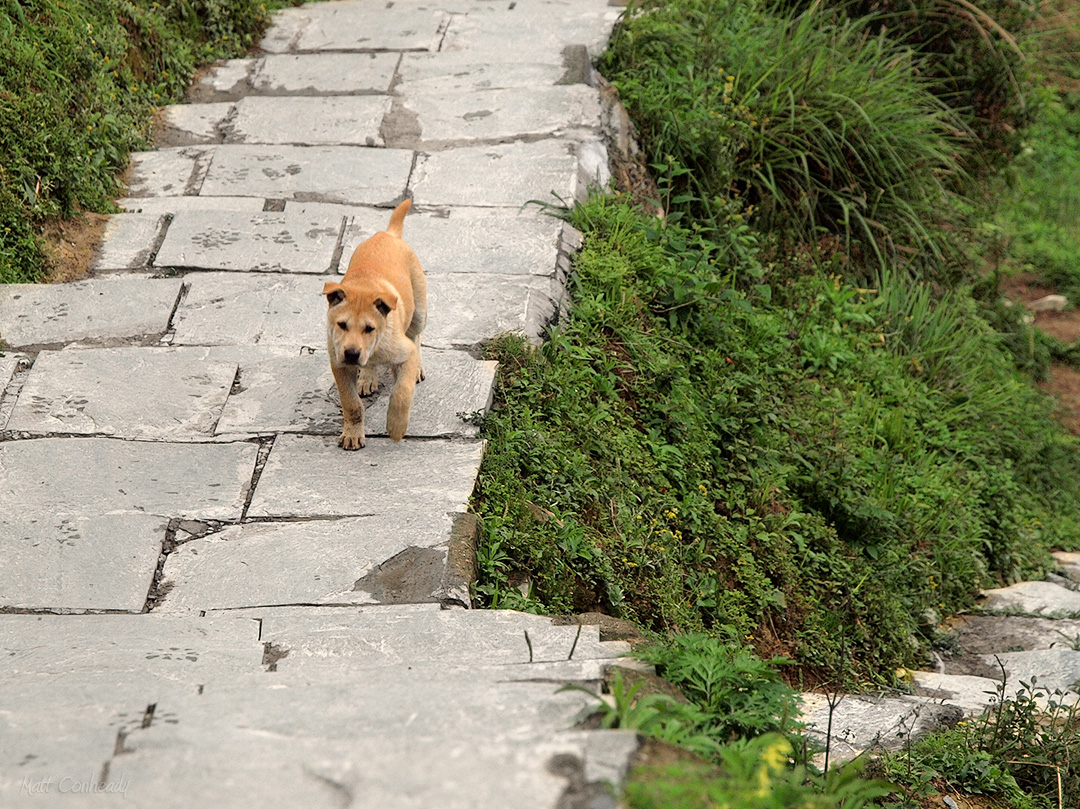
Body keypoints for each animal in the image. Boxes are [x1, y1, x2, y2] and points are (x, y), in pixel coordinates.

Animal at [319, 195, 425, 447]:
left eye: (370, 328)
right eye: (341, 325)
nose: (352, 354)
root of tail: (388, 234)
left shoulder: (405, 353)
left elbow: (402, 391)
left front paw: (396, 426)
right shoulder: (339, 364)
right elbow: (351, 403)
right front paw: (352, 434)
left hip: (419, 311)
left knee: (416, 336)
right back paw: (367, 377)